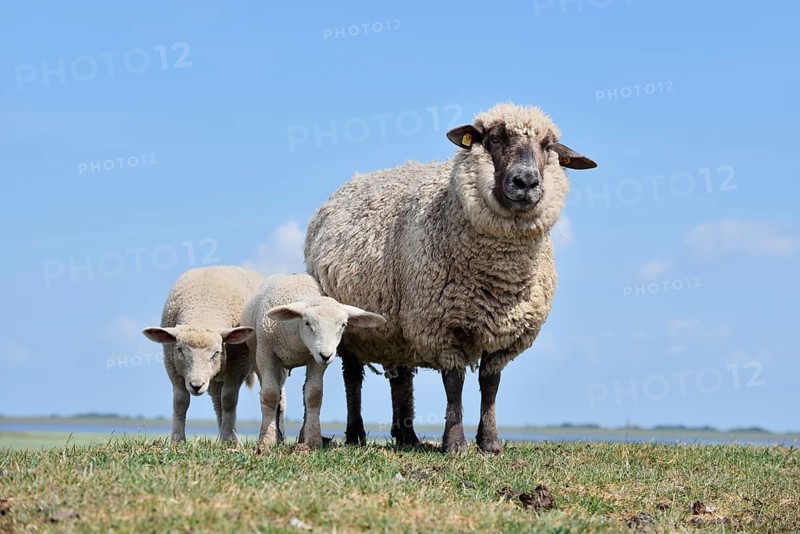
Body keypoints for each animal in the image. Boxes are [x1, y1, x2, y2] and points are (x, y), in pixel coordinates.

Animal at [142, 265, 266, 443]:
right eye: (180, 350)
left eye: (216, 352)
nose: (196, 385)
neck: (203, 309)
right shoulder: (171, 363)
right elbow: (180, 400)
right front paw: (178, 439)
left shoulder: (238, 364)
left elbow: (229, 399)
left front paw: (229, 439)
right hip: (213, 380)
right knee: (217, 402)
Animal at [241, 273, 385, 448]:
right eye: (307, 323)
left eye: (343, 325)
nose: (326, 355)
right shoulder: (265, 354)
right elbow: (269, 395)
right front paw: (267, 440)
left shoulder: (316, 361)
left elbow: (314, 395)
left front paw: (314, 440)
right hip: (258, 356)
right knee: (275, 392)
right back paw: (278, 436)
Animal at [304, 102, 597, 453]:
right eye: (494, 138)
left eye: (548, 146)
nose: (525, 181)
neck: (499, 277)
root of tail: (351, 182)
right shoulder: (442, 324)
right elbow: (454, 383)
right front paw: (455, 443)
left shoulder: (504, 333)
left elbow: (490, 384)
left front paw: (490, 443)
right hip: (350, 324)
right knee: (353, 377)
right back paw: (356, 434)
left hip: (397, 325)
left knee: (401, 377)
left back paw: (407, 437)